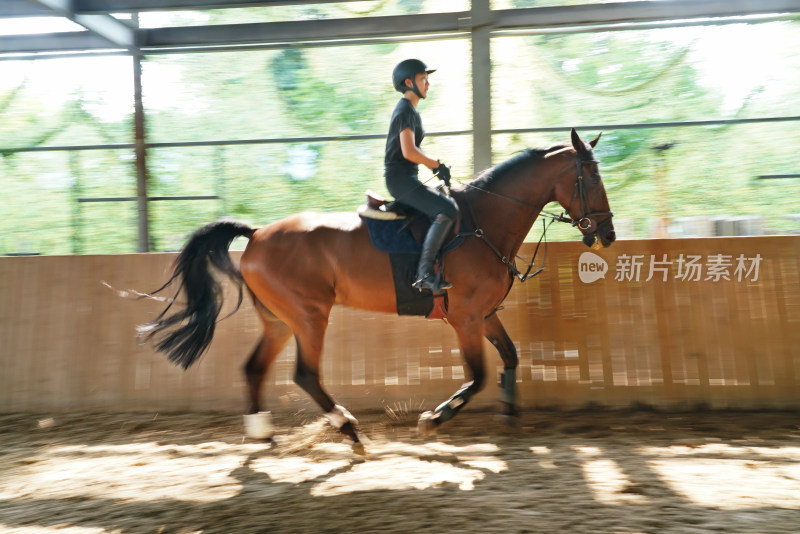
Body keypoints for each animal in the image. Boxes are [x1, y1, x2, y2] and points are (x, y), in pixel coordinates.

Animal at [139, 129, 612, 444]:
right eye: (589, 178)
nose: (606, 234)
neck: (483, 224)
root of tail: (256, 234)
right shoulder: (465, 318)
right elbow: (477, 375)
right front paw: (433, 419)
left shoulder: (484, 314)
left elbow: (510, 356)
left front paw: (508, 412)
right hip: (309, 315)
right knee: (305, 373)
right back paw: (348, 429)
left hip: (279, 320)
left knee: (255, 368)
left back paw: (262, 435)